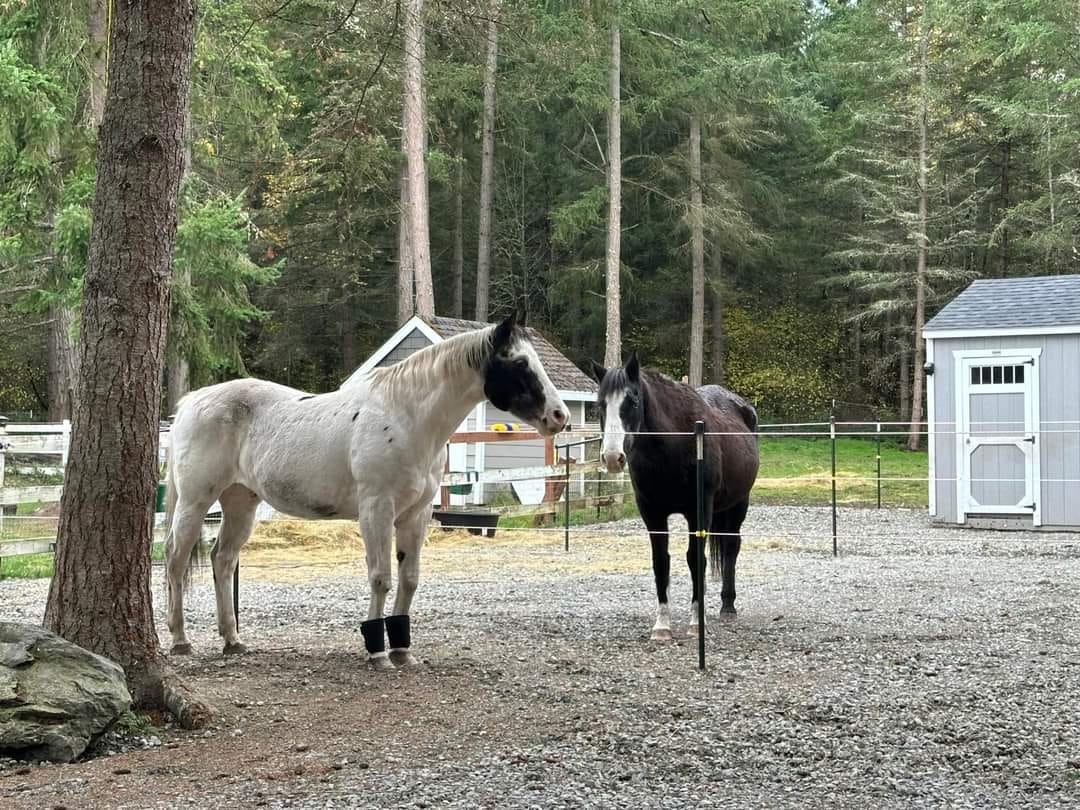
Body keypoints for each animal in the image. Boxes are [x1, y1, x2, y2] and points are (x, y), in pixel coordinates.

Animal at [164, 313, 570, 669]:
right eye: (520, 363)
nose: (559, 416)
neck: (407, 418)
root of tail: (191, 403)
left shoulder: (415, 515)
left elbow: (409, 579)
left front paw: (402, 651)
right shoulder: (377, 509)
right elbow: (380, 578)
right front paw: (376, 652)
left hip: (240, 502)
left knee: (222, 559)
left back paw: (232, 640)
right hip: (196, 500)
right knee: (175, 558)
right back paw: (180, 640)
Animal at [591, 354, 760, 639]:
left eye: (632, 401)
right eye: (600, 404)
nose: (613, 457)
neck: (674, 446)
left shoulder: (698, 511)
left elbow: (695, 560)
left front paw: (696, 623)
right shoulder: (652, 513)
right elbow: (661, 563)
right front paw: (662, 626)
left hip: (739, 504)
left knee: (731, 547)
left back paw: (727, 605)